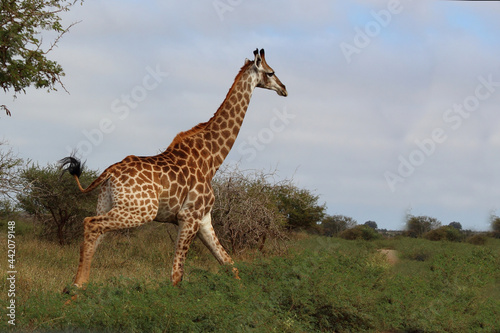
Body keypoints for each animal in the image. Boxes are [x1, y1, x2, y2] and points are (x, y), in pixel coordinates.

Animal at [60, 48, 288, 286]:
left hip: (108, 205)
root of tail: (110, 172)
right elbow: (177, 275)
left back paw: (77, 287)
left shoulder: (203, 219)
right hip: (140, 211)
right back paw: (77, 286)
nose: (284, 89)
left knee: (94, 233)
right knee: (90, 223)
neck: (212, 160)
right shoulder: (189, 217)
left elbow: (229, 264)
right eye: (271, 72)